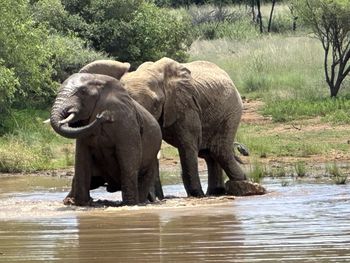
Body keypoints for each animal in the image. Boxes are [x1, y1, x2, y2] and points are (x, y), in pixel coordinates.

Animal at [49, 72, 163, 206]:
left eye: (83, 92)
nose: (101, 116)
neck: (99, 80)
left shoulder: (127, 122)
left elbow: (128, 157)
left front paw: (130, 204)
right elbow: (82, 158)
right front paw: (82, 204)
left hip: (153, 154)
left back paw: (141, 201)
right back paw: (69, 201)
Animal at [79, 57, 246, 198]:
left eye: (155, 104)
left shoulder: (185, 105)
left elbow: (187, 146)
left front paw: (196, 195)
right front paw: (159, 197)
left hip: (232, 109)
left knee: (219, 149)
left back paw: (239, 183)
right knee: (209, 154)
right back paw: (217, 192)